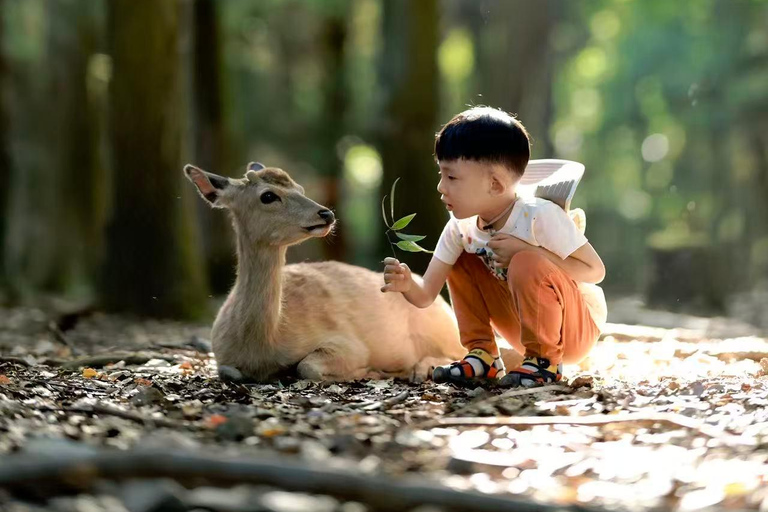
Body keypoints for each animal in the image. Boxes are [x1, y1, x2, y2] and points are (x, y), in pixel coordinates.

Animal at [184, 162, 466, 382]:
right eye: (268, 196)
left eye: (300, 188)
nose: (326, 213)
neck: (262, 345)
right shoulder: (221, 354)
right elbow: (227, 371)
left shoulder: (349, 342)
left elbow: (306, 366)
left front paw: (369, 371)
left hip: (443, 324)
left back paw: (420, 369)